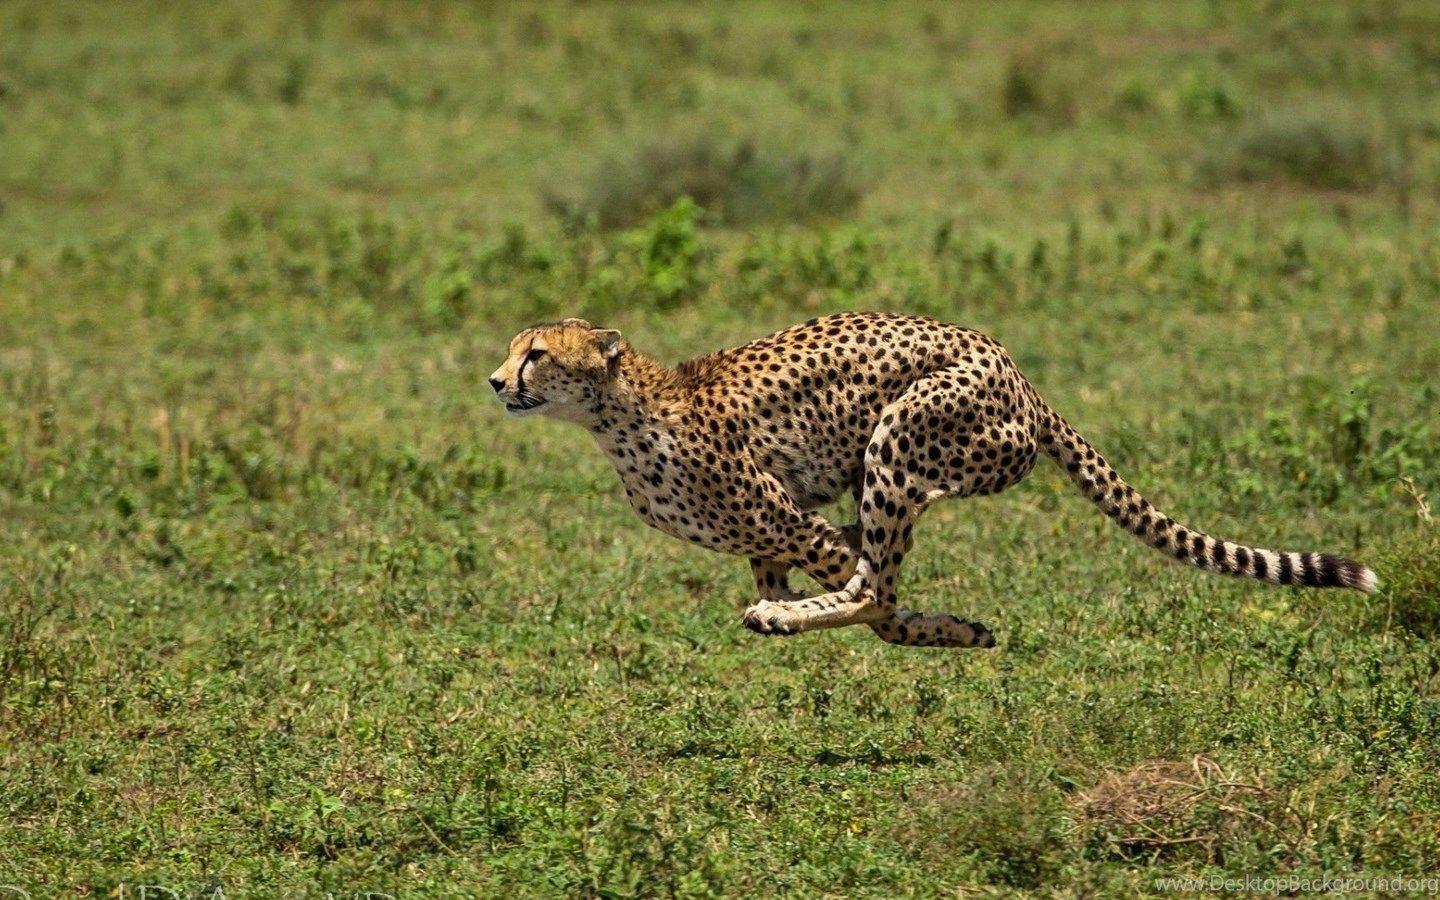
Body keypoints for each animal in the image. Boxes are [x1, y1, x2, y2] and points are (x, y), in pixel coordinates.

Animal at [488, 312, 1377, 649]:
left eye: (536, 353)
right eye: (513, 348)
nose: (495, 382)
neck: (616, 416)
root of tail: (1016, 369)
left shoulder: (795, 521)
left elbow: (872, 594)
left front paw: (926, 625)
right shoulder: (770, 535)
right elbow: (846, 580)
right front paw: (955, 627)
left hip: (899, 440)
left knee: (875, 585)